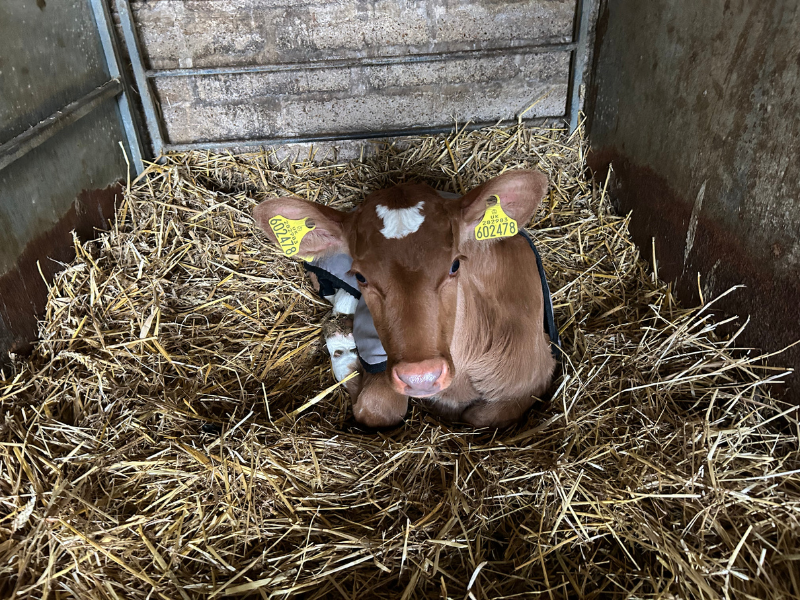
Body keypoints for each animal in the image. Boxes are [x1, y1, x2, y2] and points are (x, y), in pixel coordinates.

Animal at [253, 170, 557, 428]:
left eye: (455, 265)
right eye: (361, 276)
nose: (420, 377)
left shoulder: (529, 382)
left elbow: (482, 417)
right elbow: (378, 409)